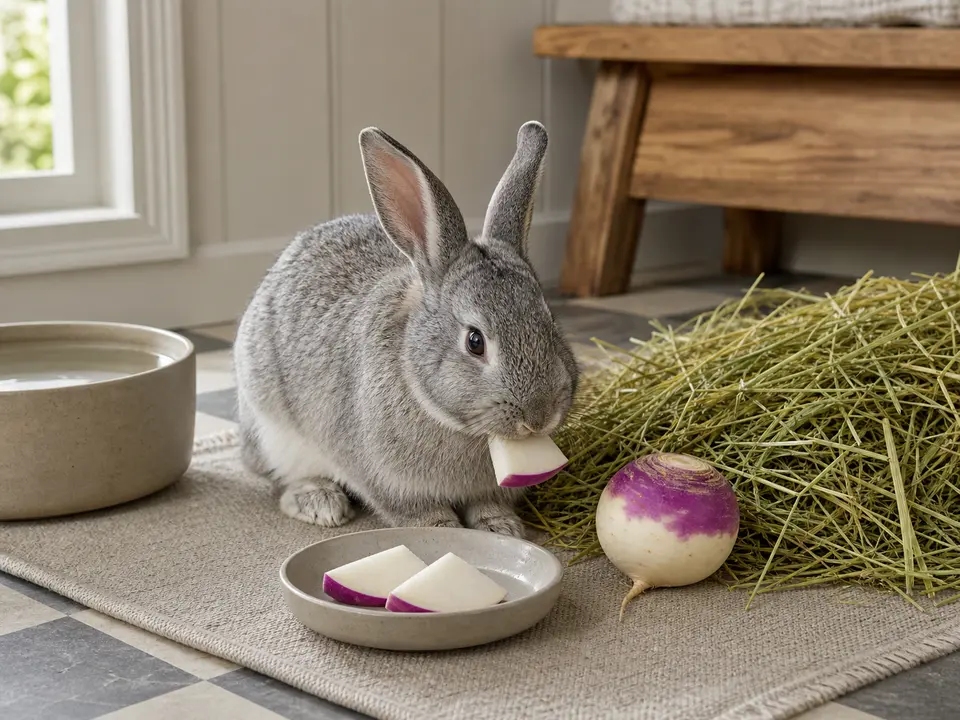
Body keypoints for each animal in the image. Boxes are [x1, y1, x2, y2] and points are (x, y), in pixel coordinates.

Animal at [232, 120, 579, 538]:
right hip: (272, 430)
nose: (539, 416)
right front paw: (443, 531)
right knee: (282, 480)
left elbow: (488, 504)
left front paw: (501, 528)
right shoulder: (384, 478)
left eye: (549, 321)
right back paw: (320, 503)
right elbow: (416, 513)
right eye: (475, 341)